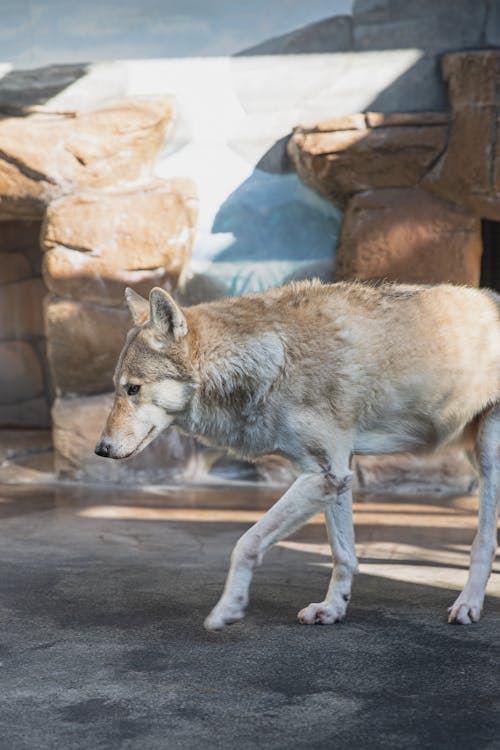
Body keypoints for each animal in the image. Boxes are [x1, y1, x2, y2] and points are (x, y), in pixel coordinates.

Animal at [94, 280, 500, 632]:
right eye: (117, 389)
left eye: (133, 389)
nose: (101, 449)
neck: (273, 360)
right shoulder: (337, 473)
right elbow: (343, 554)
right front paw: (333, 609)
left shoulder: (323, 473)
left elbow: (246, 543)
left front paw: (228, 609)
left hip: (489, 459)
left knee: (483, 541)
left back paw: (468, 605)